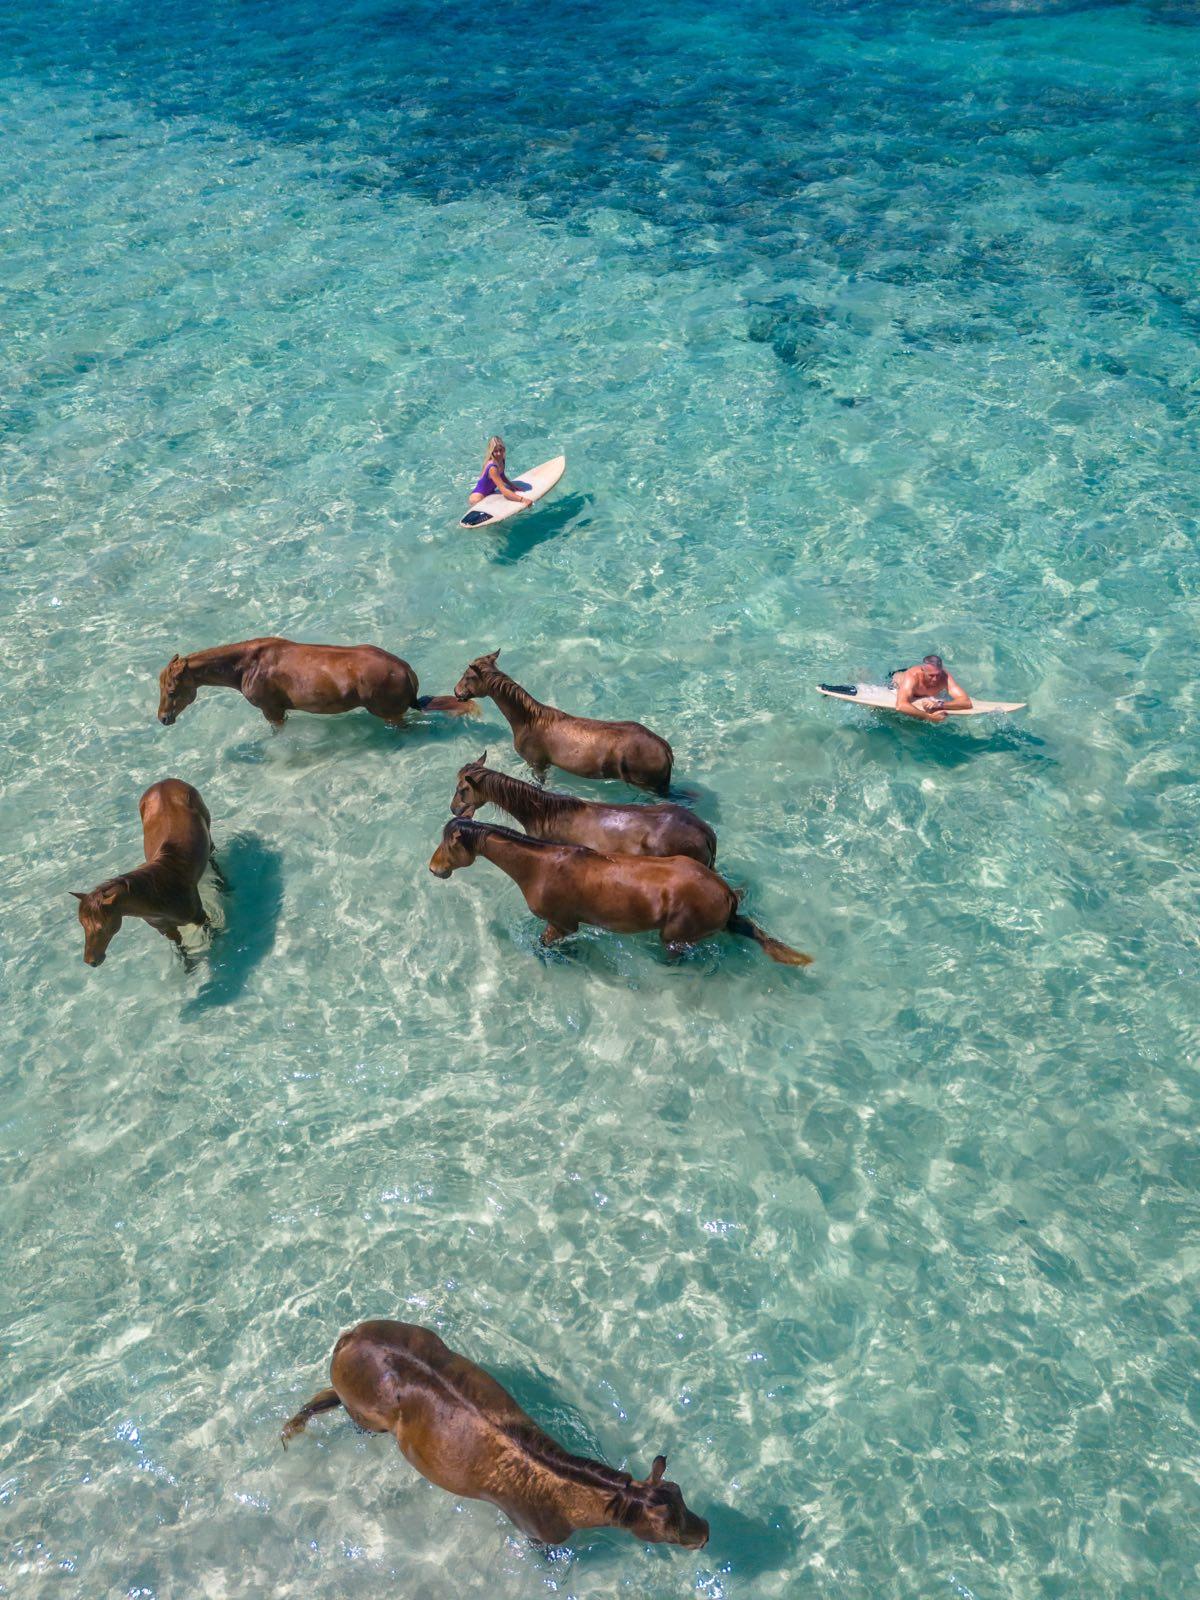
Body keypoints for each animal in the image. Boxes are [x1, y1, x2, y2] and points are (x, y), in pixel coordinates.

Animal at [72, 779, 216, 966]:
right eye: (83, 925)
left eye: (100, 927)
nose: (90, 961)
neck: (158, 894)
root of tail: (164, 781)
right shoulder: (166, 929)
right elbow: (180, 947)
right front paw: (188, 967)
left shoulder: (199, 916)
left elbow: (211, 931)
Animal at [157, 638, 477, 728]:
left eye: (172, 691)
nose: (163, 717)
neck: (247, 665)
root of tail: (406, 671)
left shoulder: (272, 710)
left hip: (388, 712)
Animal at [281, 1319, 708, 1550]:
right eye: (668, 1529)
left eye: (682, 1497)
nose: (705, 1533)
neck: (568, 1487)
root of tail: (349, 1338)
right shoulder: (538, 1533)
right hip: (364, 1412)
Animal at [429, 818, 811, 964]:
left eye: (449, 844)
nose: (434, 869)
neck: (540, 866)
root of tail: (726, 893)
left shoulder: (561, 923)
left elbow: (545, 943)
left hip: (675, 937)